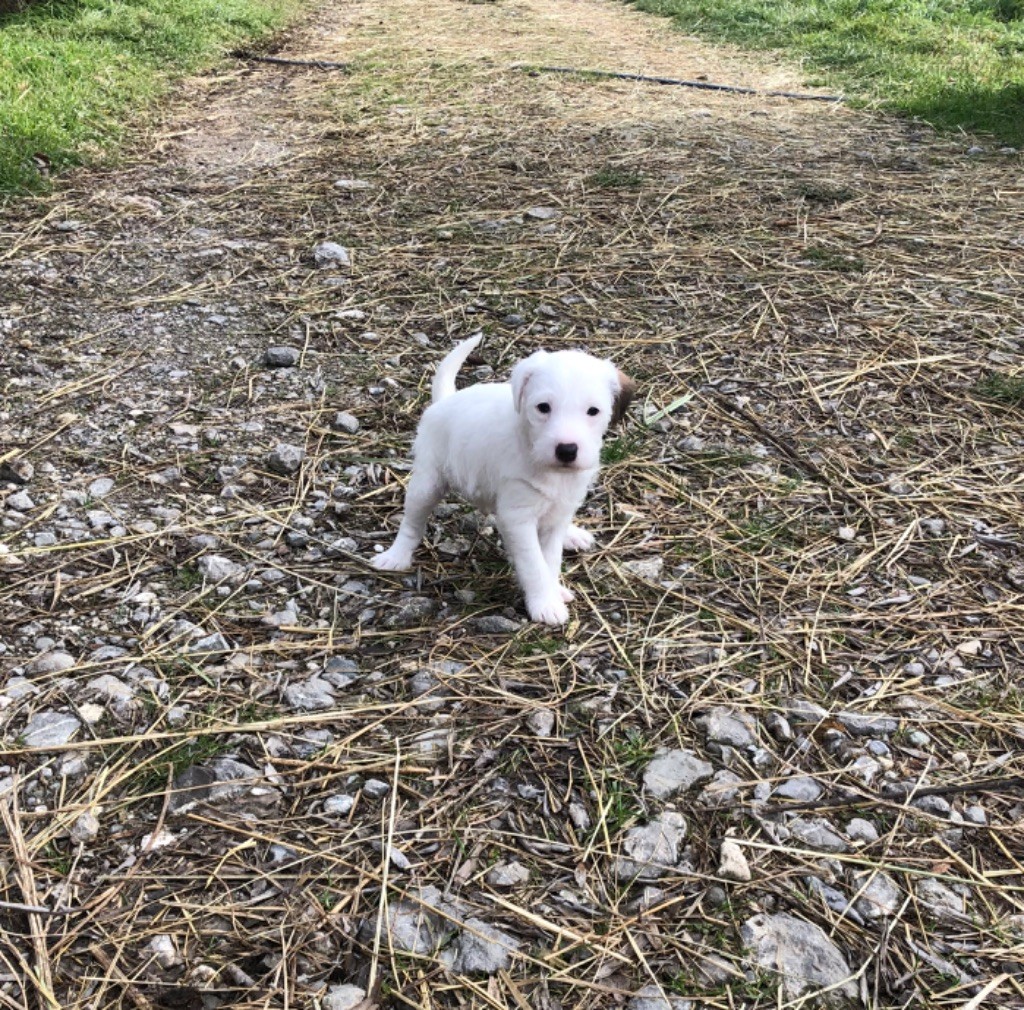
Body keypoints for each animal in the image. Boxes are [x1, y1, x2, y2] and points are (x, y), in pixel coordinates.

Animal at [372, 335, 634, 622]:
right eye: (543, 408)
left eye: (593, 411)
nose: (566, 450)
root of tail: (445, 401)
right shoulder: (518, 518)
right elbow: (534, 564)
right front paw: (546, 602)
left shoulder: (558, 512)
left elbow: (550, 560)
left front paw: (553, 589)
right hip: (427, 484)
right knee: (412, 523)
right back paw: (395, 556)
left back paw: (573, 535)